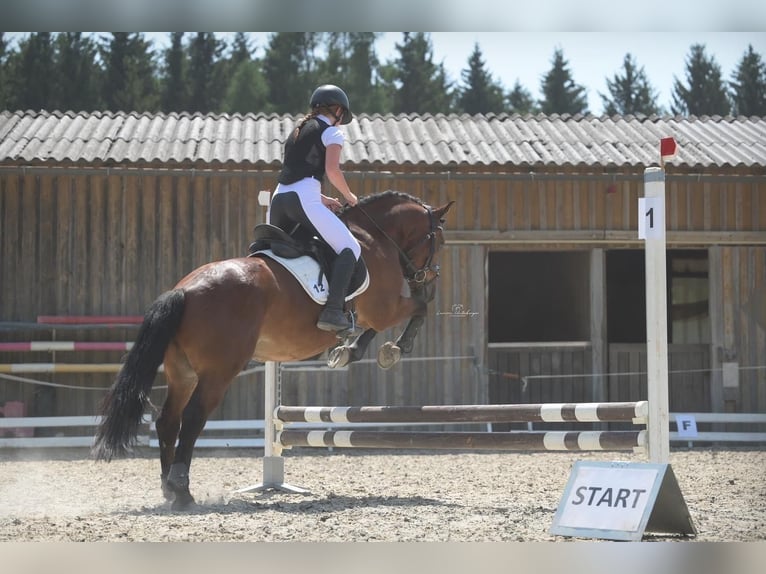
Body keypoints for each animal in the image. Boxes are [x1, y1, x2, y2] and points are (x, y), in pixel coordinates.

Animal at [96, 191, 456, 510]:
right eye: (437, 240)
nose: (429, 275)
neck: (375, 238)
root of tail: (184, 291)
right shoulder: (384, 309)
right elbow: (421, 307)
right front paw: (392, 350)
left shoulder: (377, 312)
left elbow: (392, 318)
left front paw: (347, 351)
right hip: (218, 372)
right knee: (193, 417)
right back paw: (183, 494)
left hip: (181, 372)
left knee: (168, 421)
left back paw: (168, 490)